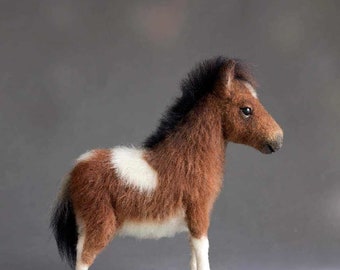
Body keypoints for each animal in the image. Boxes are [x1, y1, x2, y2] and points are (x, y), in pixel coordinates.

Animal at [51, 56, 284, 268]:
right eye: (247, 110)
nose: (279, 139)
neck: (189, 156)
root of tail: (76, 168)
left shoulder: (192, 223)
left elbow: (193, 257)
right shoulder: (199, 216)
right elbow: (203, 254)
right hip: (100, 225)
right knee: (84, 259)